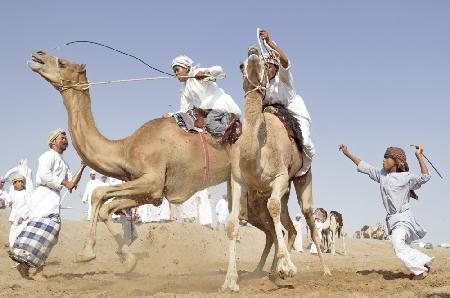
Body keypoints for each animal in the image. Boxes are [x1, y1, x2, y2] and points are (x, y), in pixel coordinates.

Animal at [28, 50, 298, 274]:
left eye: (62, 63)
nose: (37, 55)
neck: (125, 148)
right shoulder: (151, 193)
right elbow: (106, 207)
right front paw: (125, 259)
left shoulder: (152, 180)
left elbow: (99, 194)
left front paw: (88, 253)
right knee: (271, 229)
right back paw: (265, 270)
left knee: (276, 226)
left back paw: (275, 270)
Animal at [221, 47, 330, 292]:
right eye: (240, 65)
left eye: (264, 60)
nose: (253, 50)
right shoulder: (238, 181)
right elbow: (232, 224)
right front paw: (230, 280)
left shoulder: (280, 176)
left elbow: (273, 208)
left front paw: (288, 268)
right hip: (278, 193)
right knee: (288, 226)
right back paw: (272, 272)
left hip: (301, 179)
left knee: (308, 219)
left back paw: (325, 270)